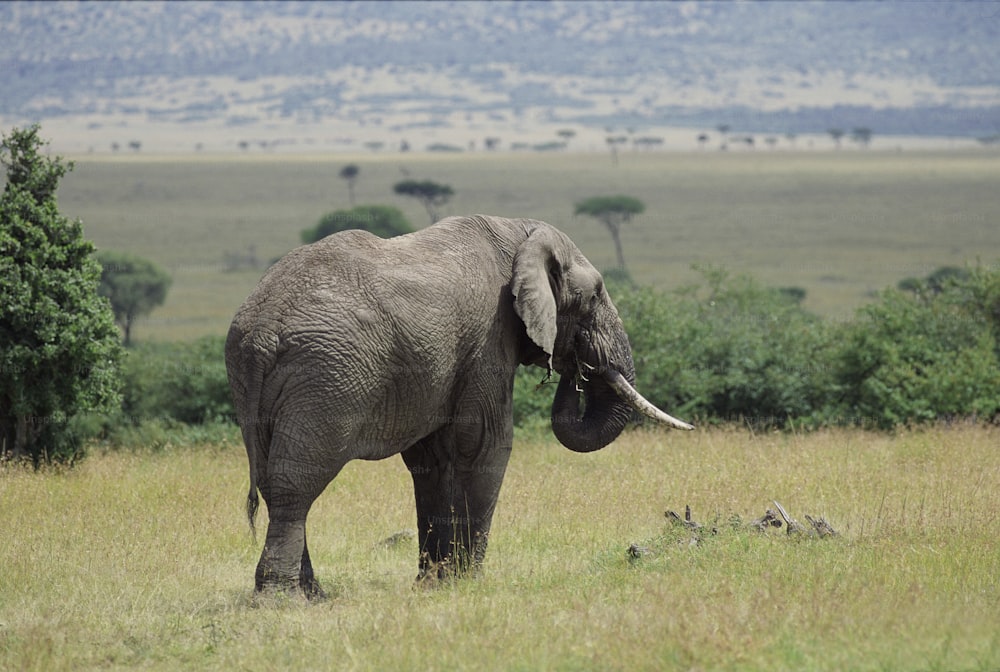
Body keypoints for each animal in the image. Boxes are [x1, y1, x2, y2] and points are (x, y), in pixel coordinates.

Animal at [227, 214, 696, 592]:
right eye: (595, 294)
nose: (576, 367)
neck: (519, 234)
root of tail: (263, 328)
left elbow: (431, 460)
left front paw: (433, 584)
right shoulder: (489, 339)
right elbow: (484, 446)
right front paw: (466, 583)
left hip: (259, 381)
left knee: (273, 479)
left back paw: (312, 594)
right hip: (325, 377)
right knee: (295, 484)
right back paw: (283, 598)